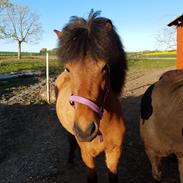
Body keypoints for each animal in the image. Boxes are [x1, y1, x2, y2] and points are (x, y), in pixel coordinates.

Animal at [54, 10, 126, 183]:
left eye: (105, 67)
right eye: (68, 68)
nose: (85, 130)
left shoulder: (114, 152)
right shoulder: (88, 156)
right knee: (70, 139)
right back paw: (71, 159)